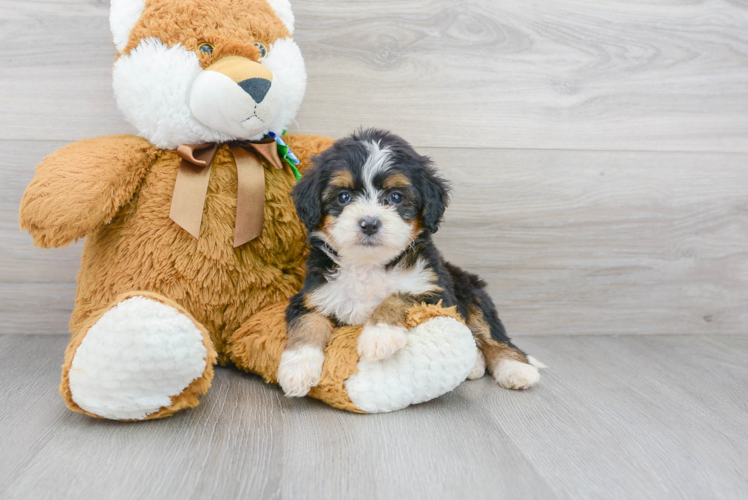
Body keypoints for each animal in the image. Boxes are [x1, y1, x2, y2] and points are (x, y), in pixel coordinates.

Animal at [280, 129, 544, 398]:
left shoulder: (434, 291)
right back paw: (476, 365)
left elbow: (399, 296)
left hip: (470, 290)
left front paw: (379, 335)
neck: (370, 264)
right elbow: (307, 323)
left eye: (395, 197)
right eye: (343, 197)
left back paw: (516, 368)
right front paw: (297, 369)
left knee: (493, 335)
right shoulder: (313, 295)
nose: (369, 223)